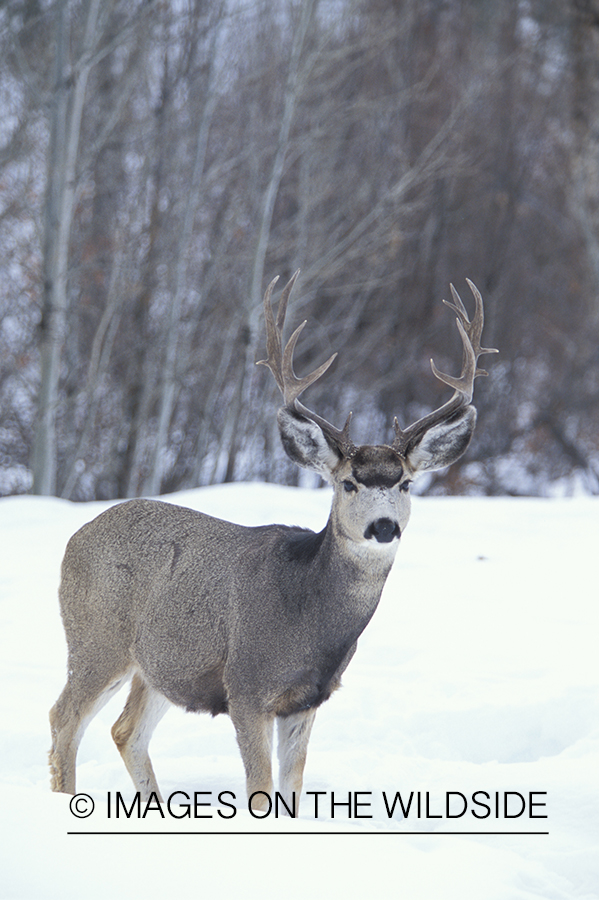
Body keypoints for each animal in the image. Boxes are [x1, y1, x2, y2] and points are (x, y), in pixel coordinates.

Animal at [49, 272, 497, 816]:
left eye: (407, 483)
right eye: (348, 483)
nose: (384, 526)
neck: (309, 622)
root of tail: (75, 539)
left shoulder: (306, 700)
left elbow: (292, 789)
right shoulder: (246, 686)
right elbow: (260, 792)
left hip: (158, 665)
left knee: (125, 730)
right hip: (96, 638)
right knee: (64, 719)